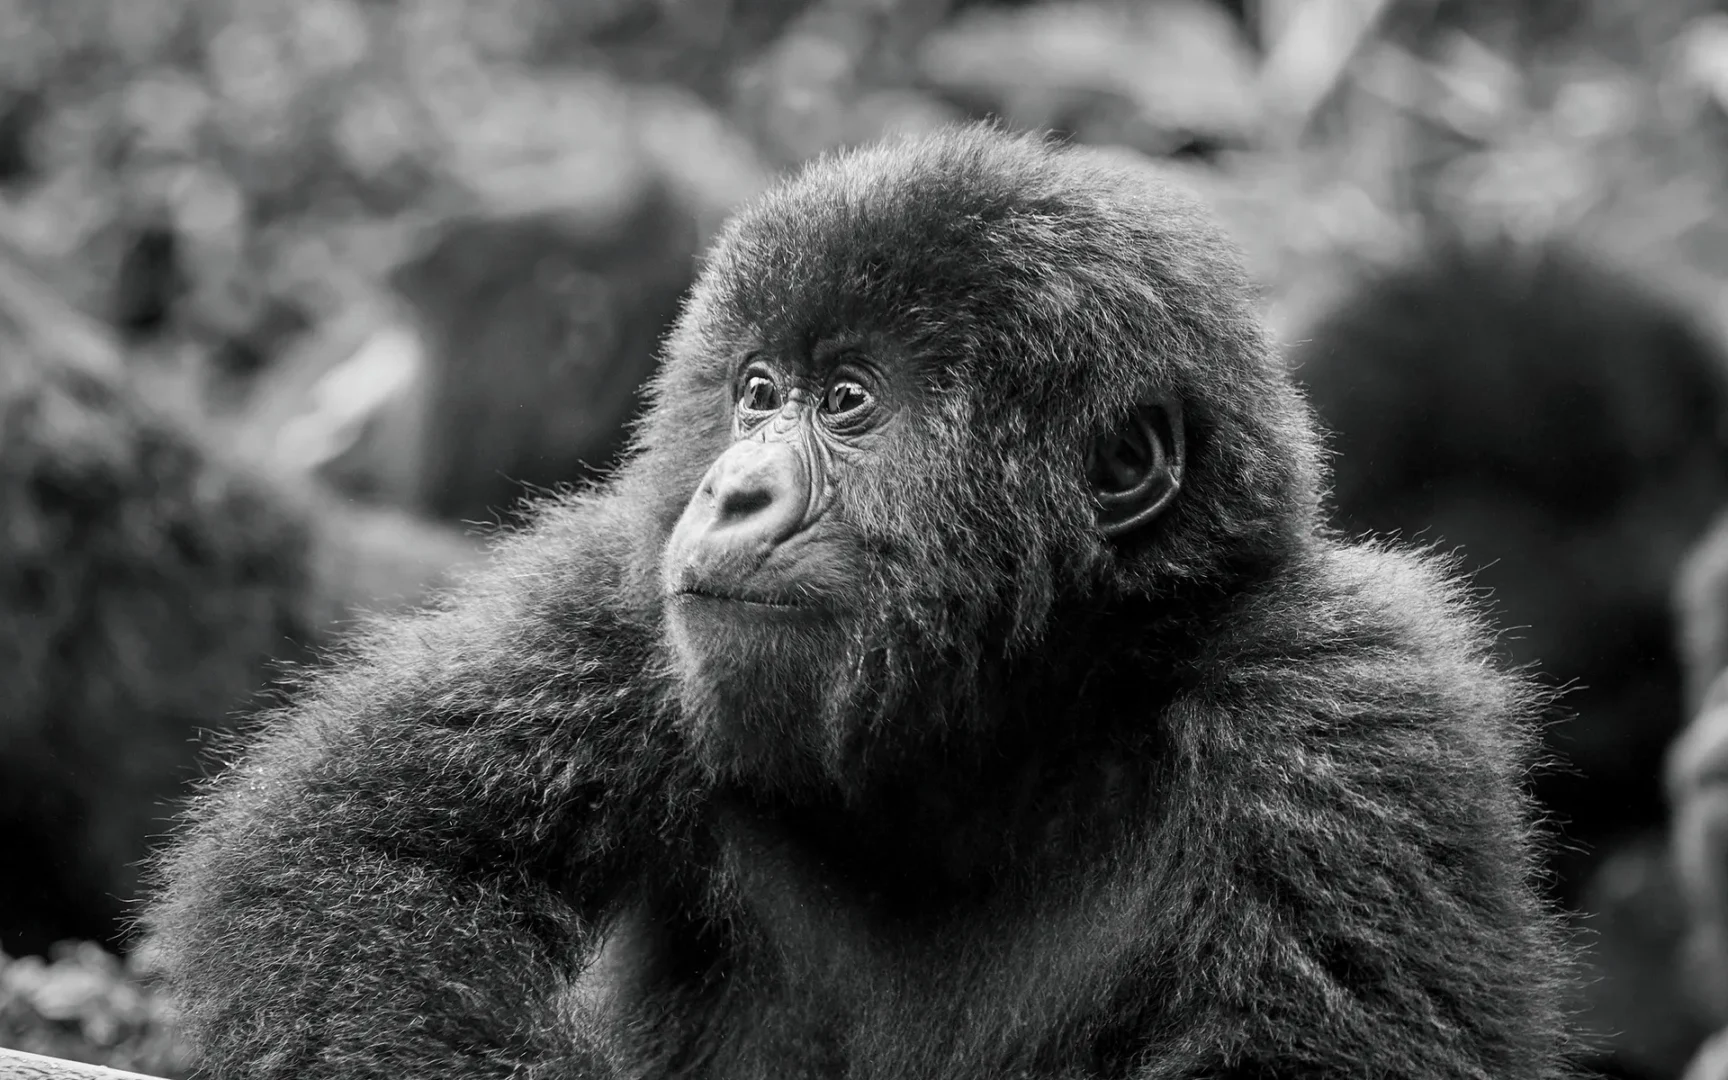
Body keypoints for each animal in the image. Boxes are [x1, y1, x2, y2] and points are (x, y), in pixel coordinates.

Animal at [144, 126, 1574, 1080]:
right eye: (756, 392)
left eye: (847, 402)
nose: (729, 492)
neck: (1009, 717)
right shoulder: (617, 604)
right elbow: (363, 859)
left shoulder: (1347, 710)